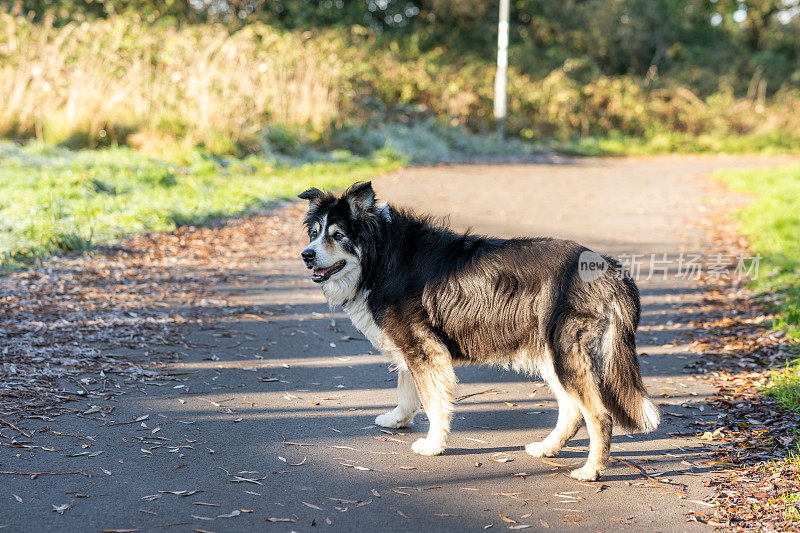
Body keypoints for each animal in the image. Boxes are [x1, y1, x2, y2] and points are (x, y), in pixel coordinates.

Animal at [296, 181, 660, 480]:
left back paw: (591, 470)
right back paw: (546, 448)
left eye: (338, 235)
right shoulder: (411, 346)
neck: (382, 255)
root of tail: (610, 267)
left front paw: (433, 444)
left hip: (566, 354)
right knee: (572, 412)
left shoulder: (424, 348)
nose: (306, 255)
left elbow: (433, 402)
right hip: (552, 355)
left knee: (599, 416)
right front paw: (398, 420)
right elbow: (406, 389)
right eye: (314, 233)